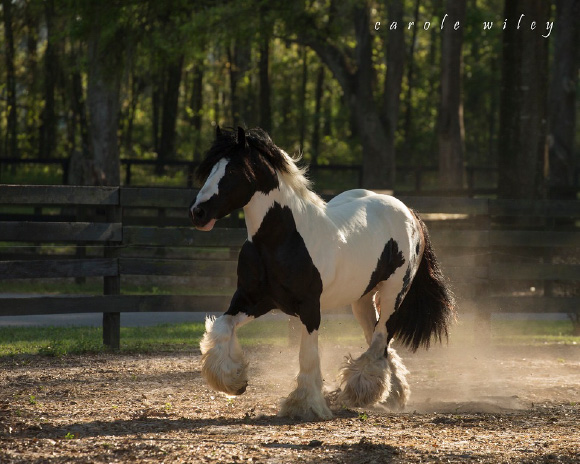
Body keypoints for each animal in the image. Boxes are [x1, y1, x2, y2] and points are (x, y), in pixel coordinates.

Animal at [188, 127, 456, 420]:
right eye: (211, 168)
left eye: (234, 170)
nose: (198, 213)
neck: (282, 240)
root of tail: (409, 212)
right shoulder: (252, 300)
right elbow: (221, 328)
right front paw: (234, 381)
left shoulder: (308, 308)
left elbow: (308, 356)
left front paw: (304, 405)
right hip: (362, 300)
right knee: (379, 341)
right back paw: (393, 394)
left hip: (393, 294)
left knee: (380, 339)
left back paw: (361, 390)